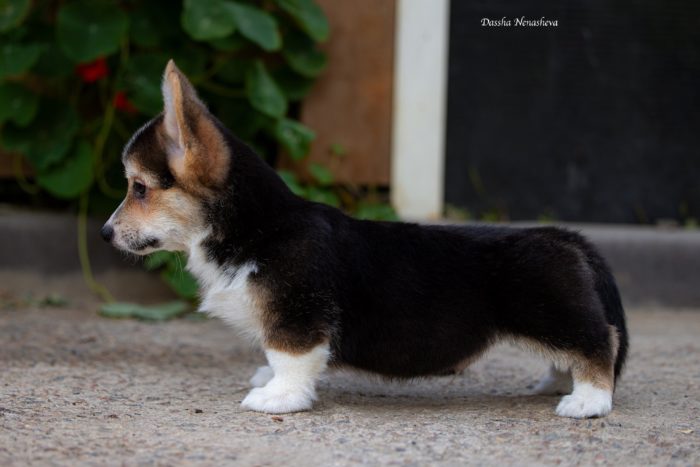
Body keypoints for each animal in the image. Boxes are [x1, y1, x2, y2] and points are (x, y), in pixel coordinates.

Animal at [102, 60, 628, 418]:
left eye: (139, 188)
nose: (105, 233)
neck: (258, 228)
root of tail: (565, 238)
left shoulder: (297, 317)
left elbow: (289, 359)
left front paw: (278, 396)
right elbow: (274, 356)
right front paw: (268, 380)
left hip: (554, 316)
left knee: (599, 342)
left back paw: (588, 400)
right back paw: (559, 384)